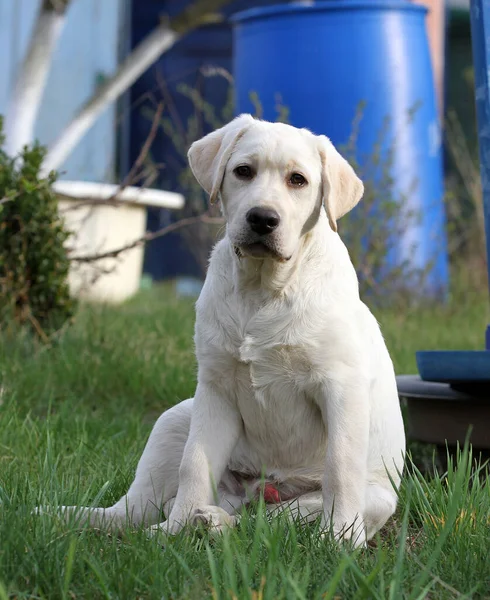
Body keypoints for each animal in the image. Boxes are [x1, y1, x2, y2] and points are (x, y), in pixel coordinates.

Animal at [46, 115, 406, 548]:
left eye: (298, 180)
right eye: (243, 171)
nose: (262, 218)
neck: (262, 289)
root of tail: (255, 491)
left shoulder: (341, 388)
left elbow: (340, 466)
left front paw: (339, 541)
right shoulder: (215, 389)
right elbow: (194, 464)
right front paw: (175, 531)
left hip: (364, 500)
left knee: (271, 522)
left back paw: (220, 523)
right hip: (175, 418)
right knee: (131, 511)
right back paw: (78, 517)